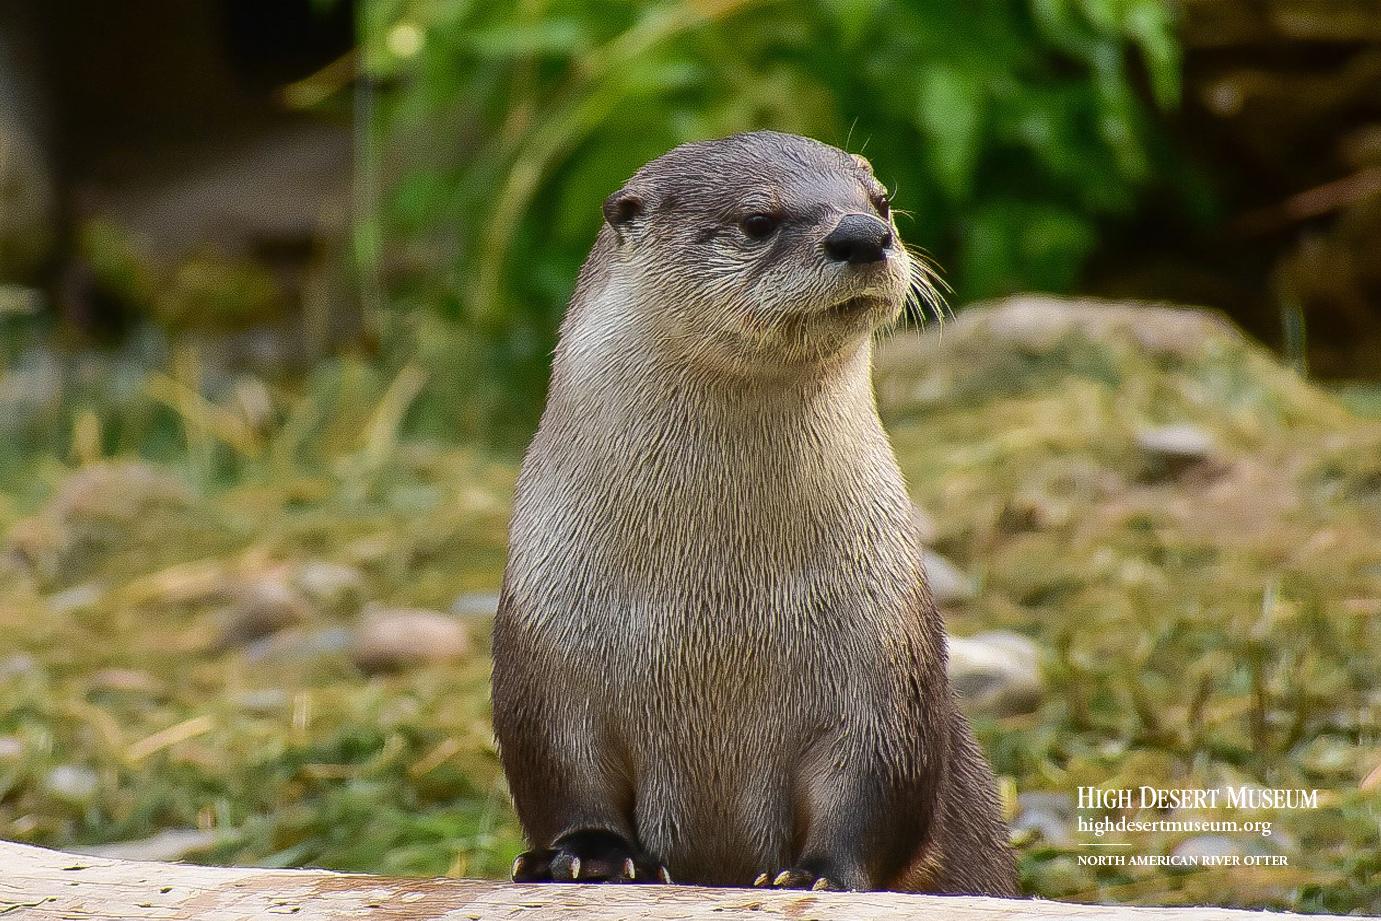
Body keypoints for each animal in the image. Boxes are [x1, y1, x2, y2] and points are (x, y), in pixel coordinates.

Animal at [491, 131, 1018, 896]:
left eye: (880, 201)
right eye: (758, 221)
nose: (864, 235)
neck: (713, 610)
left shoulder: (885, 651)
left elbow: (876, 778)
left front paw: (817, 874)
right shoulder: (545, 643)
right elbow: (560, 769)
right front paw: (589, 855)